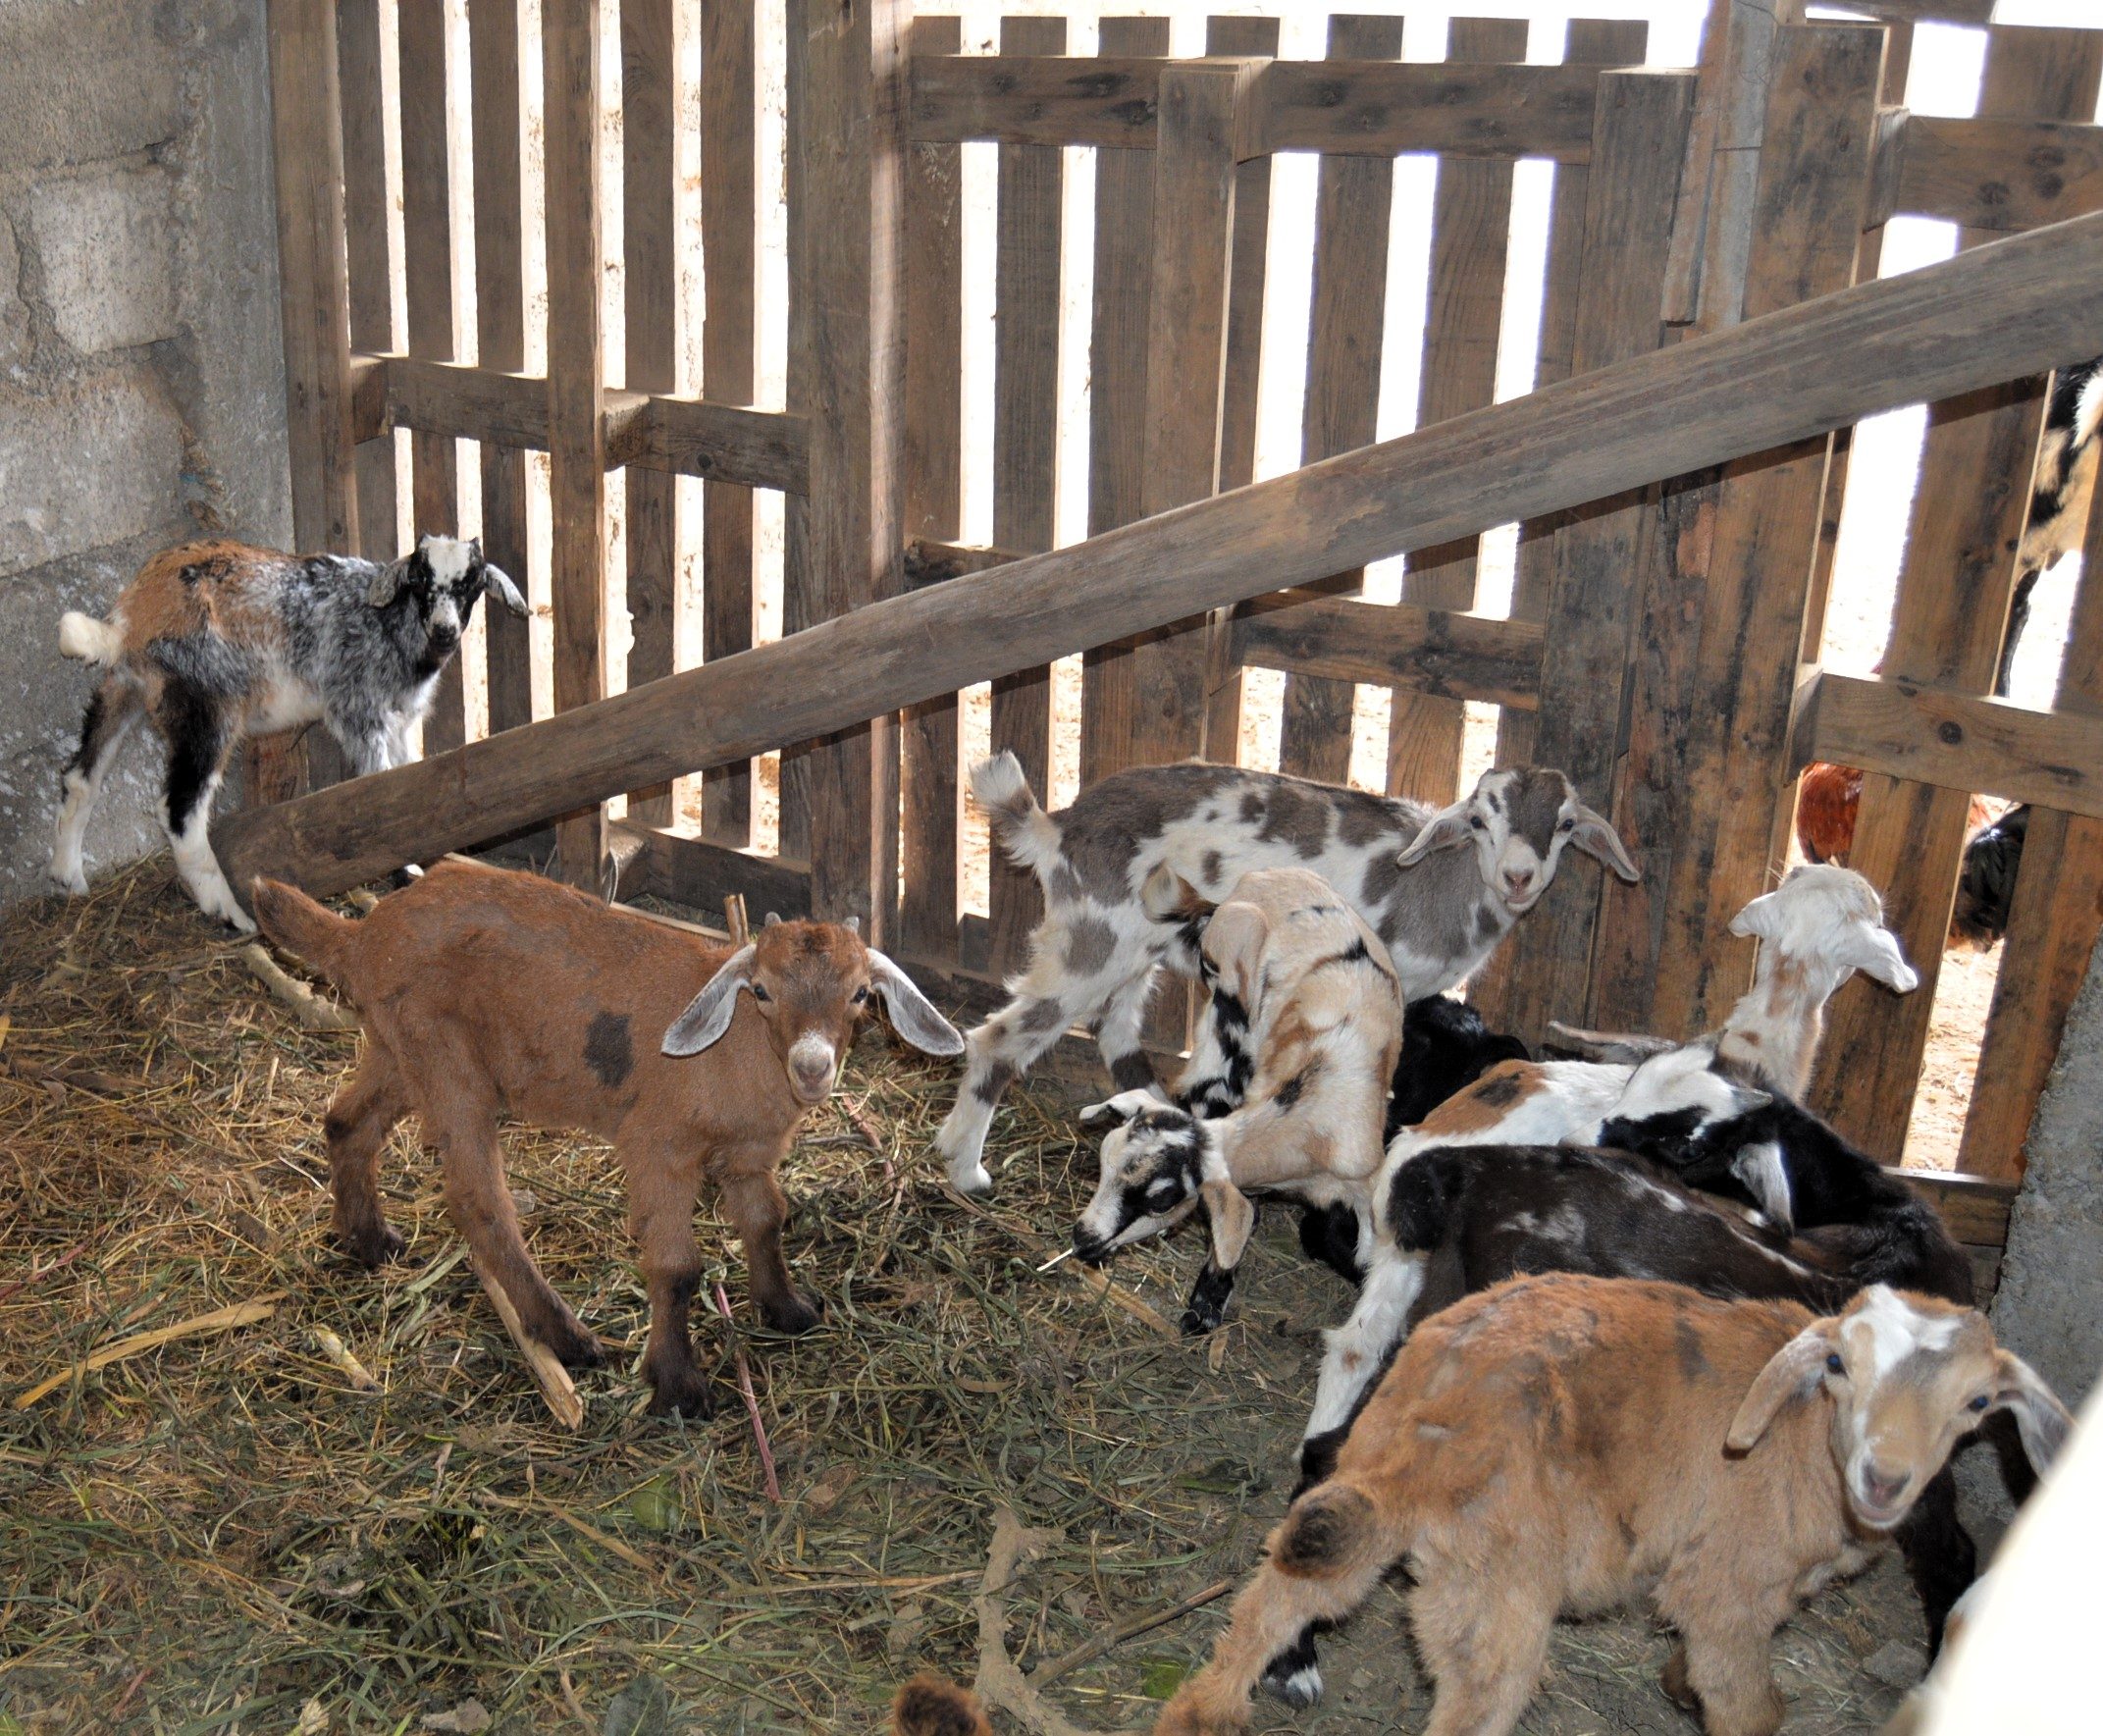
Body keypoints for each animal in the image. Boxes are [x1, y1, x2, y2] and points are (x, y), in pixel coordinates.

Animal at [50, 534, 527, 931]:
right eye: (420, 581)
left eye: (471, 585)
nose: (445, 631)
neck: (391, 624)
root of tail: (133, 620)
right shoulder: (360, 708)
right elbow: (381, 785)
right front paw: (404, 871)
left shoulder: (401, 721)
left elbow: (413, 776)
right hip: (208, 707)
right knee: (180, 810)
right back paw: (229, 911)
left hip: (124, 688)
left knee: (81, 777)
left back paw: (68, 878)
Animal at [251, 859, 961, 1415]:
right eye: (760, 989)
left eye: (861, 994)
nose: (812, 1067)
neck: (733, 1049)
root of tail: (361, 934)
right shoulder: (657, 1145)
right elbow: (676, 1267)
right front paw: (677, 1385)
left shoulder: (750, 1155)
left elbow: (765, 1221)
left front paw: (788, 1310)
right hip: (445, 1060)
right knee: (479, 1200)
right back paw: (566, 1336)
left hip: (397, 1049)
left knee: (346, 1122)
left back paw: (368, 1239)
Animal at [934, 752, 1635, 1194]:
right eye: (1481, 819)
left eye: (1566, 825)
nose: (1519, 877)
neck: (1436, 884)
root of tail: (1059, 828)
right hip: (1091, 939)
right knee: (998, 1039)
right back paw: (966, 1171)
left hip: (1132, 948)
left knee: (1117, 1036)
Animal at [1068, 867, 1402, 1332]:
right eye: (1102, 1163)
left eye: (1161, 1199)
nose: (1083, 1237)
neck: (1311, 1117)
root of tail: (1257, 879)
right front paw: (1205, 1305)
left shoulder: (1364, 1190)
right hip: (1228, 987)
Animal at [1157, 1276, 2071, 1736]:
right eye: (1839, 1365)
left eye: (1977, 1401)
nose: (1885, 1477)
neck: (1805, 1439)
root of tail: (1439, 1420)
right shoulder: (1728, 1588)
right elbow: (1749, 1703)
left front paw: (1675, 1685)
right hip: (1498, 1583)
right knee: (1475, 1697)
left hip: (1373, 1489)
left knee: (1291, 1581)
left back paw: (1202, 1711)